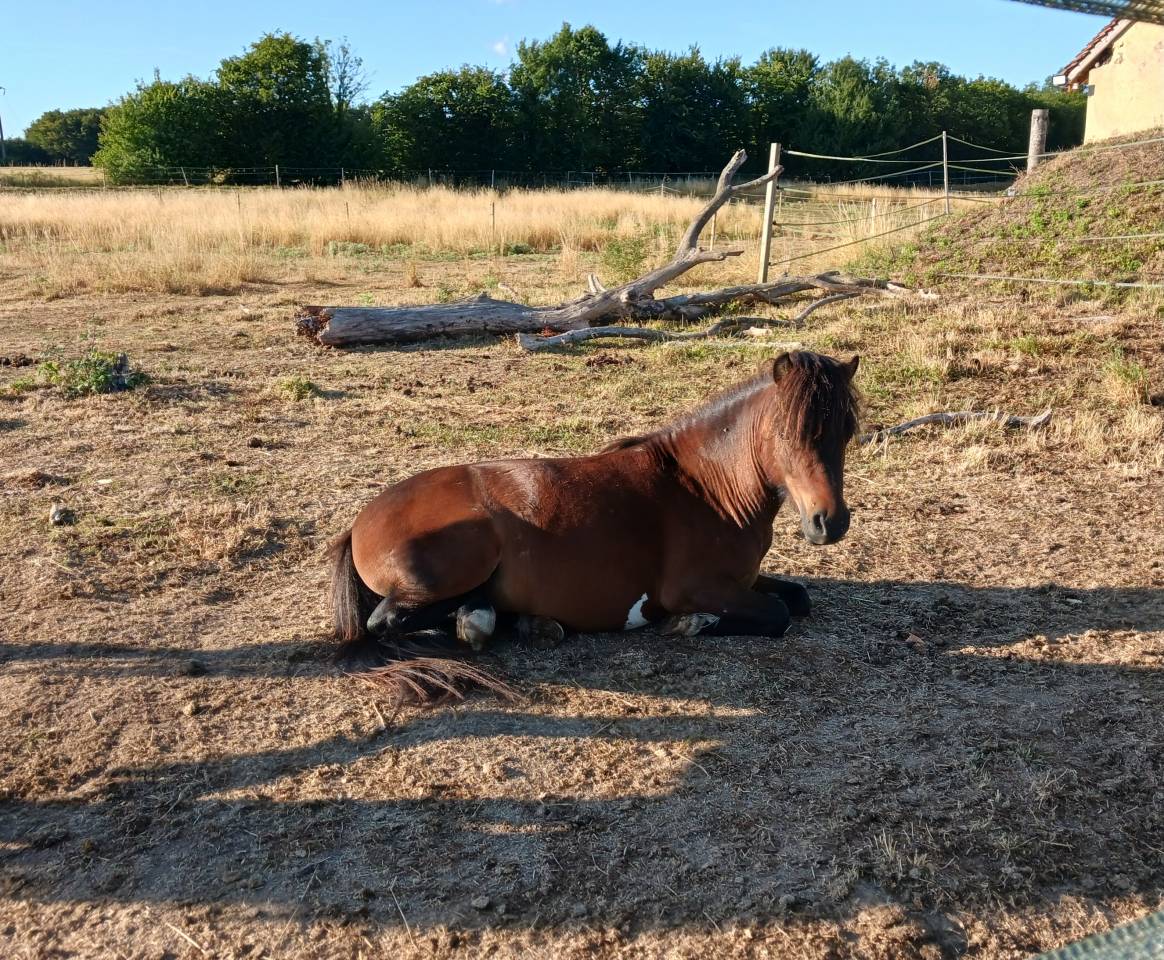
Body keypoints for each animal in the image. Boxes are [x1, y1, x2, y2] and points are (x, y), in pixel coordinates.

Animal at [329, 350, 860, 703]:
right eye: (787, 433)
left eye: (847, 431)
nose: (830, 522)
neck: (706, 488)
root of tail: (359, 523)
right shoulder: (699, 588)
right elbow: (778, 614)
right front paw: (690, 624)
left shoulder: (742, 580)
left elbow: (798, 597)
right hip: (462, 557)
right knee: (387, 622)